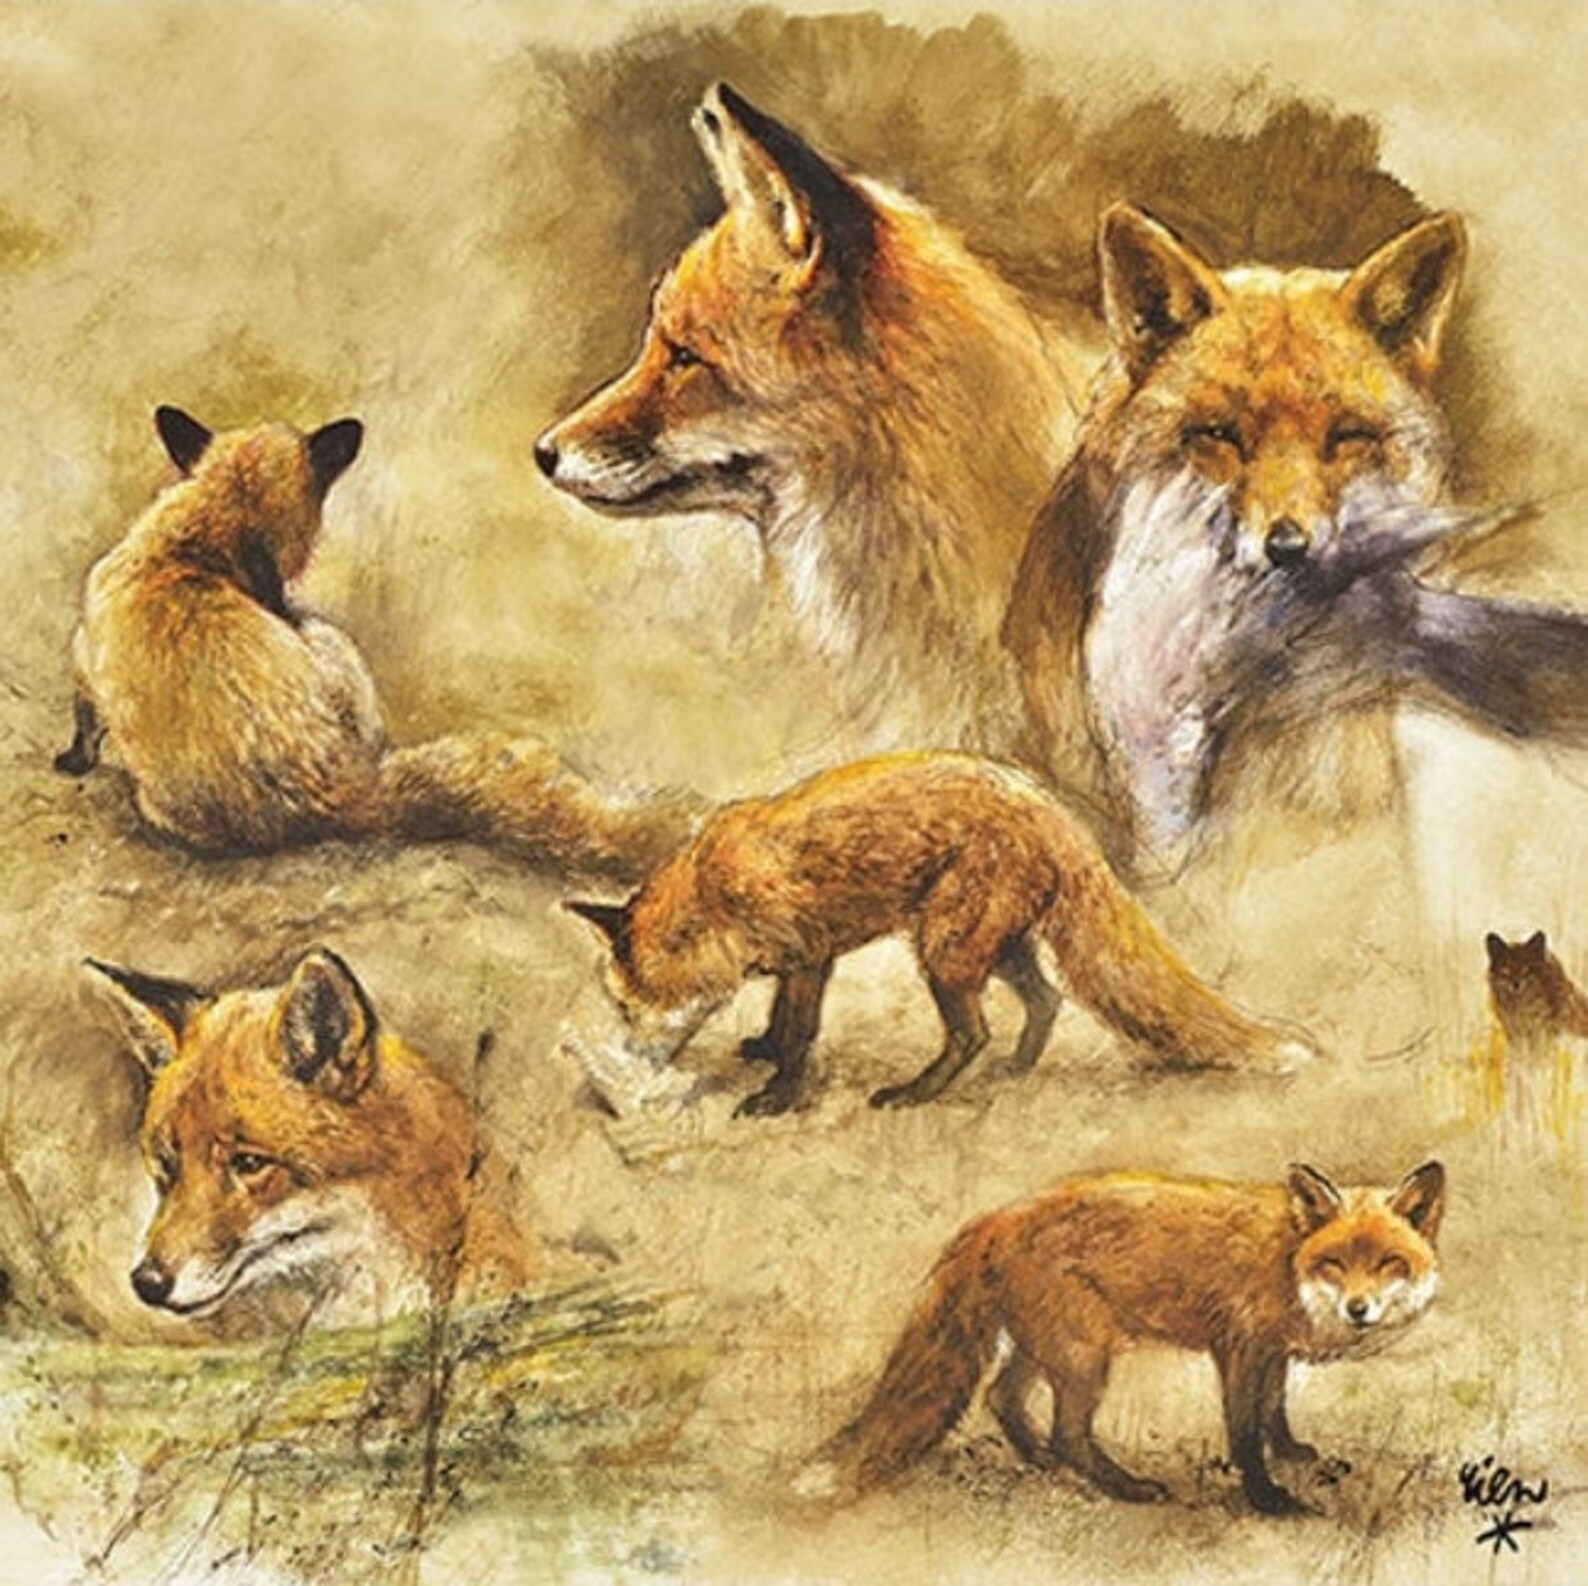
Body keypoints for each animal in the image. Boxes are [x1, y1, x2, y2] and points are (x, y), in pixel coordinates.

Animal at [57, 406, 699, 879]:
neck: (186, 551)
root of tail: (339, 792)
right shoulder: (83, 658)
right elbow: (84, 723)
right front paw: (75, 761)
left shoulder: (85, 655)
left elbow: (84, 719)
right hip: (331, 640)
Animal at [564, 753, 1313, 1119]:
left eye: (634, 1009)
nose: (629, 1057)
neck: (719, 887)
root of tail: (1049, 807)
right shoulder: (799, 962)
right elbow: (781, 1021)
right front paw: (764, 1048)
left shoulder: (808, 956)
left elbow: (802, 1032)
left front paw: (777, 1097)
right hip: (994, 946)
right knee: (1046, 1001)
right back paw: (1018, 1065)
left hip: (945, 950)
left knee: (972, 1032)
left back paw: (918, 1092)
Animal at [806, 1161, 1446, 1516]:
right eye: (1335, 1263)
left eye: (1388, 1262)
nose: (1358, 1309)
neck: (1286, 1257)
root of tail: (1001, 1216)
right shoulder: (1239, 1348)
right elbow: (1244, 1431)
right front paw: (1268, 1499)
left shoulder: (1273, 1354)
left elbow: (1274, 1411)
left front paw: (1291, 1454)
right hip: (1084, 1356)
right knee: (1067, 1431)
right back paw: (1126, 1487)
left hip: (1047, 1349)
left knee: (1000, 1398)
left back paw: (1039, 1459)